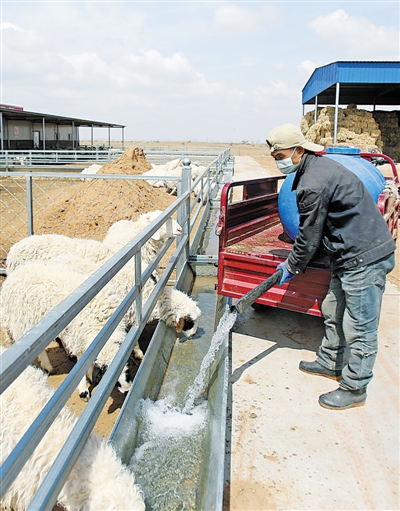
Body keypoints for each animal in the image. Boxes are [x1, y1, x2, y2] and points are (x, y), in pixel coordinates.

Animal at [0, 262, 132, 402]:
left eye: (127, 369)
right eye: (112, 377)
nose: (127, 390)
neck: (101, 323)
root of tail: (16, 273)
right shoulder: (79, 337)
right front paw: (84, 389)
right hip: (24, 321)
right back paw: (48, 366)